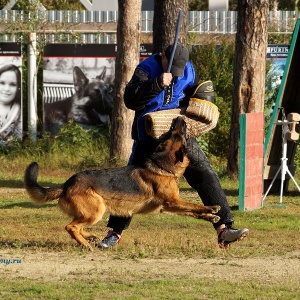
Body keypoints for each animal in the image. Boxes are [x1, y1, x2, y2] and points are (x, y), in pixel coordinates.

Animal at [24, 117, 220, 251]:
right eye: (177, 133)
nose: (178, 118)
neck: (163, 164)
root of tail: (68, 183)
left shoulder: (169, 206)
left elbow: (192, 211)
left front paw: (211, 216)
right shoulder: (172, 202)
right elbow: (194, 205)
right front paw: (212, 208)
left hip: (92, 212)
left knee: (77, 226)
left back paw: (90, 237)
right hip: (97, 209)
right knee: (71, 227)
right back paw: (86, 244)